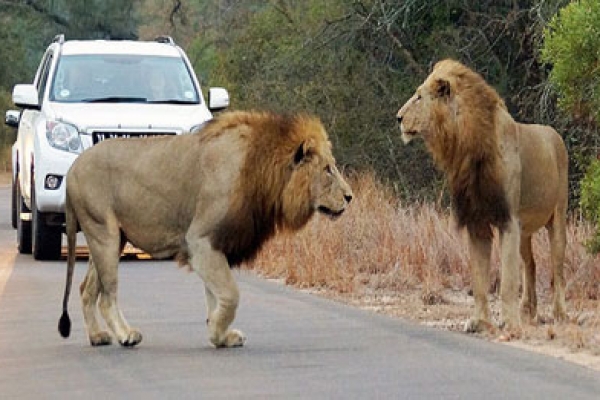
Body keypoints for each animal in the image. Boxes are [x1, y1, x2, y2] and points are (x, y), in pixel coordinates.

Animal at [57, 109, 352, 346]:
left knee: (86, 289)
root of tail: (72, 168)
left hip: (110, 238)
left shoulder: (215, 244)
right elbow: (230, 295)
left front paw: (220, 335)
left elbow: (215, 295)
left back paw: (98, 337)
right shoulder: (200, 240)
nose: (350, 197)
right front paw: (218, 330)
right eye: (328, 169)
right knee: (107, 296)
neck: (262, 171)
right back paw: (126, 335)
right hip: (103, 232)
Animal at [396, 59, 568, 332]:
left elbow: (507, 281)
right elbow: (479, 280)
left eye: (419, 97)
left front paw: (509, 323)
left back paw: (559, 313)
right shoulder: (476, 222)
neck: (465, 147)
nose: (398, 118)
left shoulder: (508, 220)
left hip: (558, 217)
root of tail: (554, 133)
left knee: (557, 268)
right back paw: (527, 310)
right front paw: (479, 321)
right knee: (530, 264)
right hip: (525, 231)